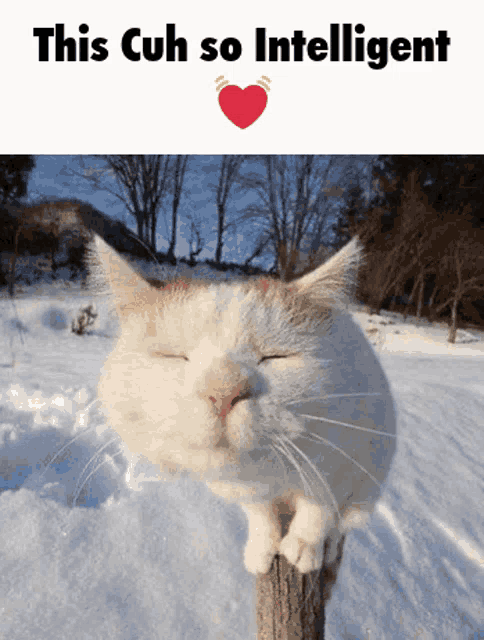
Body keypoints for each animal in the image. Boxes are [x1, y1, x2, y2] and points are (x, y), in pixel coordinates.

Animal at [89, 234, 396, 576]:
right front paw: (264, 547)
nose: (223, 391)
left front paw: (304, 545)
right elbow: (261, 514)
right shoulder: (247, 491)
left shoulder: (344, 464)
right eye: (174, 356)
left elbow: (320, 509)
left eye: (275, 356)